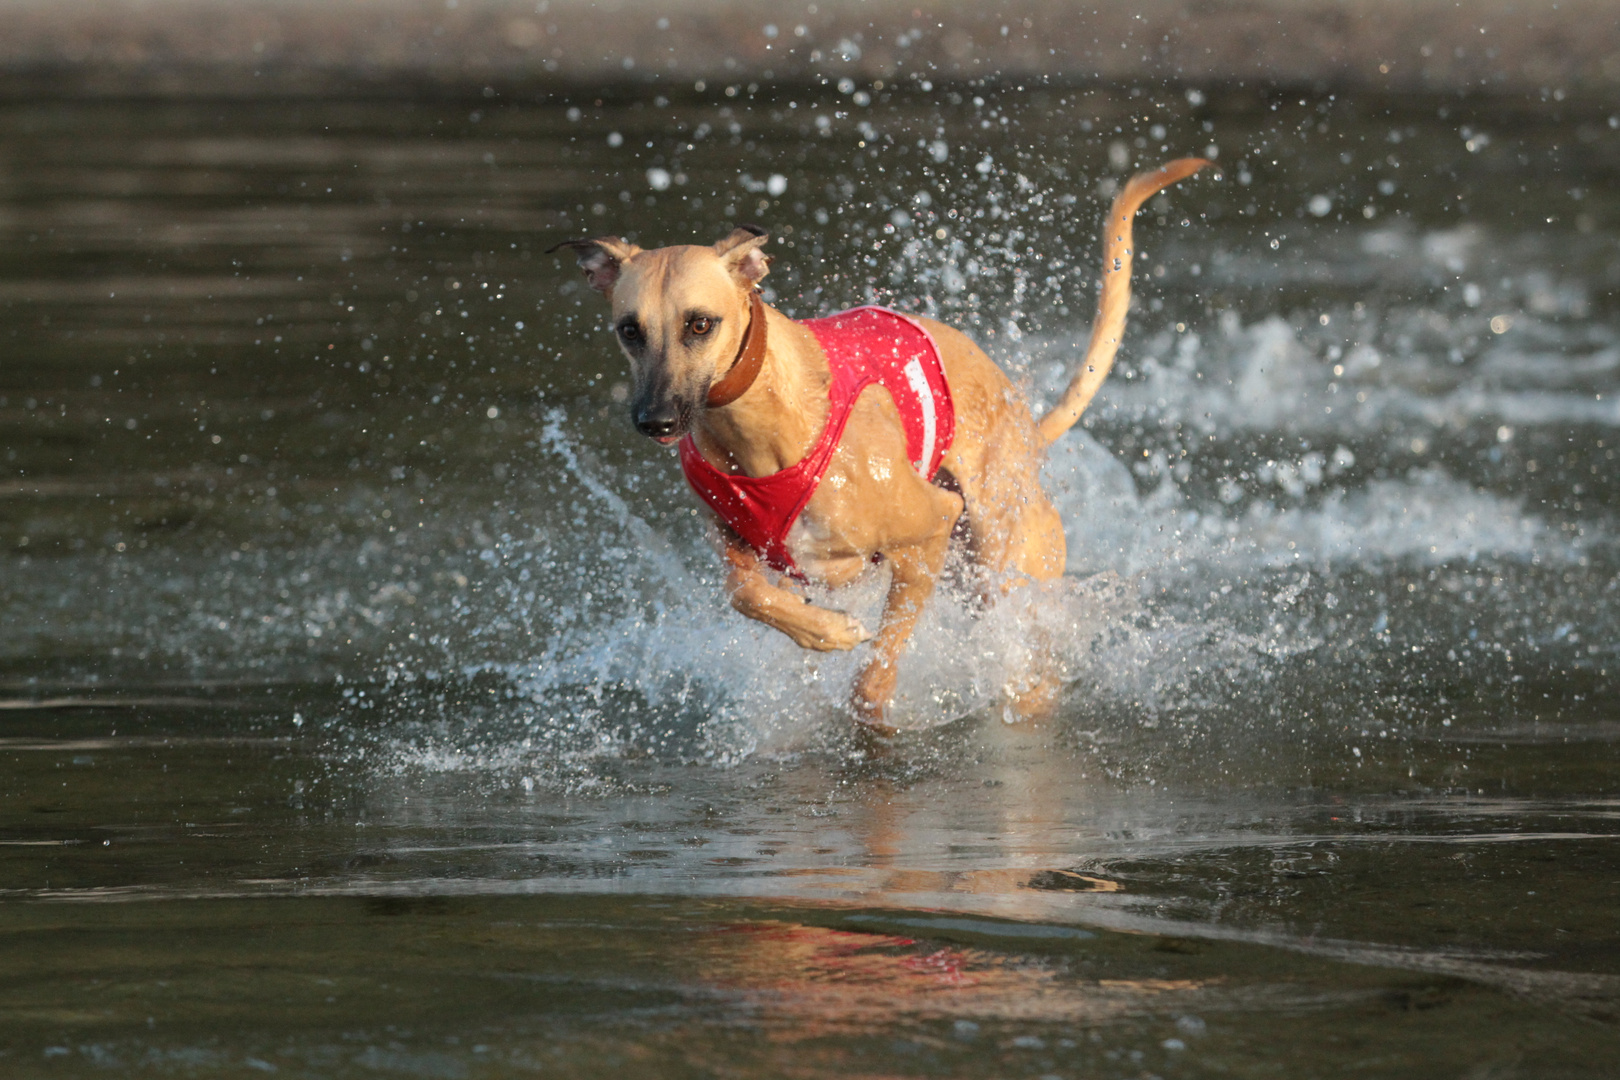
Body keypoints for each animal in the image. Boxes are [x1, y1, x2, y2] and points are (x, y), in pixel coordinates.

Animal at [554, 156, 1205, 731]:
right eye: (629, 330)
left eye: (699, 323)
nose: (655, 420)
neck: (763, 429)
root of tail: (1024, 423)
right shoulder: (743, 545)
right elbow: (745, 593)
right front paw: (823, 630)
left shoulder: (930, 529)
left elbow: (874, 678)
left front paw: (863, 677)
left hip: (1002, 561)